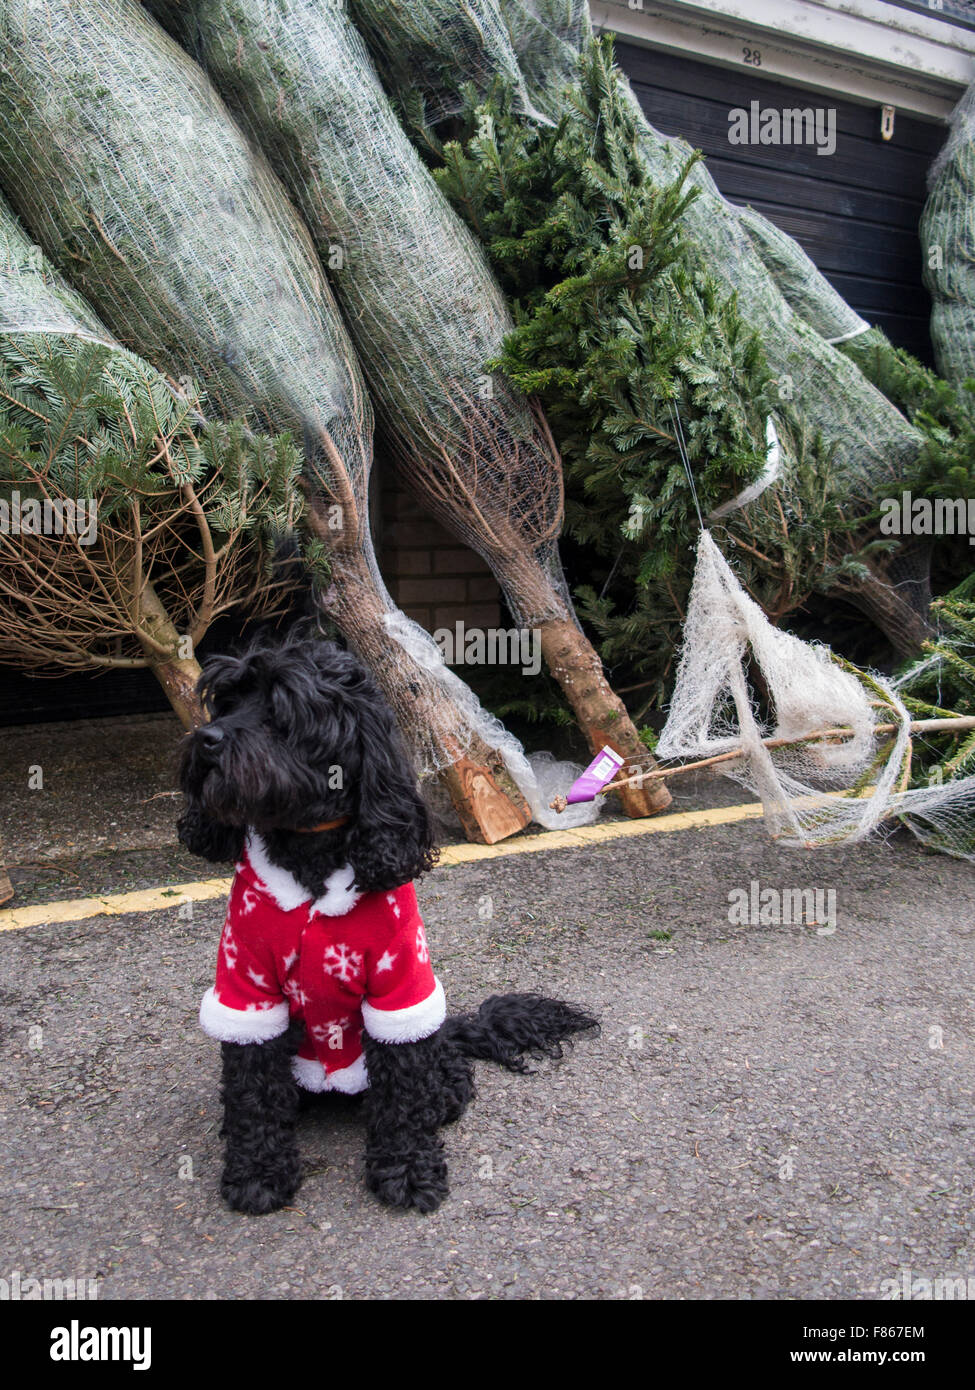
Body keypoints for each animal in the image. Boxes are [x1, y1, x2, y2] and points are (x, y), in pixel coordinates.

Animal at [179, 636, 598, 1212]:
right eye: (226, 701)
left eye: (282, 709)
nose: (206, 739)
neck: (310, 855)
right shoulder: (248, 987)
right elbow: (252, 1089)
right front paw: (257, 1172)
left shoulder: (399, 984)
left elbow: (402, 1090)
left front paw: (407, 1169)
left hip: (431, 1043)